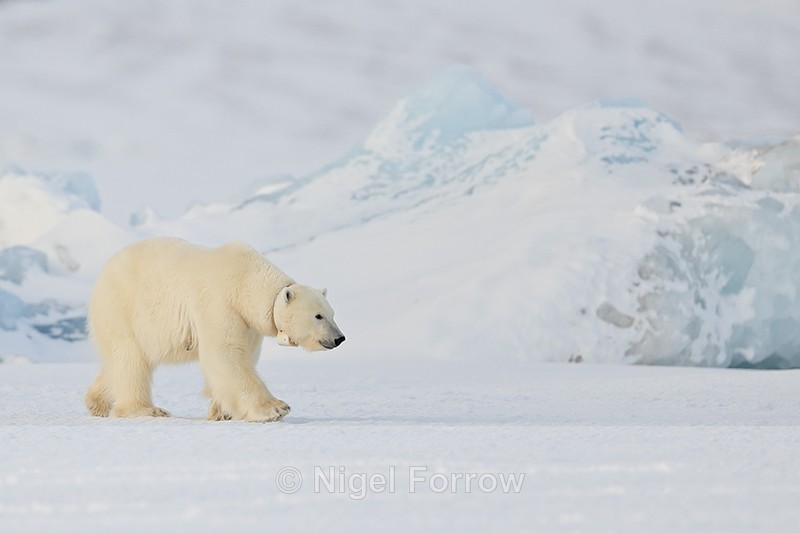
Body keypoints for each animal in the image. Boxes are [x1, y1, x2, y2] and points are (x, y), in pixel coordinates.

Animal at [84, 237, 345, 422]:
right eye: (318, 316)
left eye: (332, 313)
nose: (339, 338)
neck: (245, 281)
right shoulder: (220, 302)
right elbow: (223, 353)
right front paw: (275, 408)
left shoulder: (248, 323)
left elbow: (244, 357)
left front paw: (222, 412)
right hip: (122, 309)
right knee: (130, 358)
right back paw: (146, 410)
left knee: (120, 362)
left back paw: (96, 402)